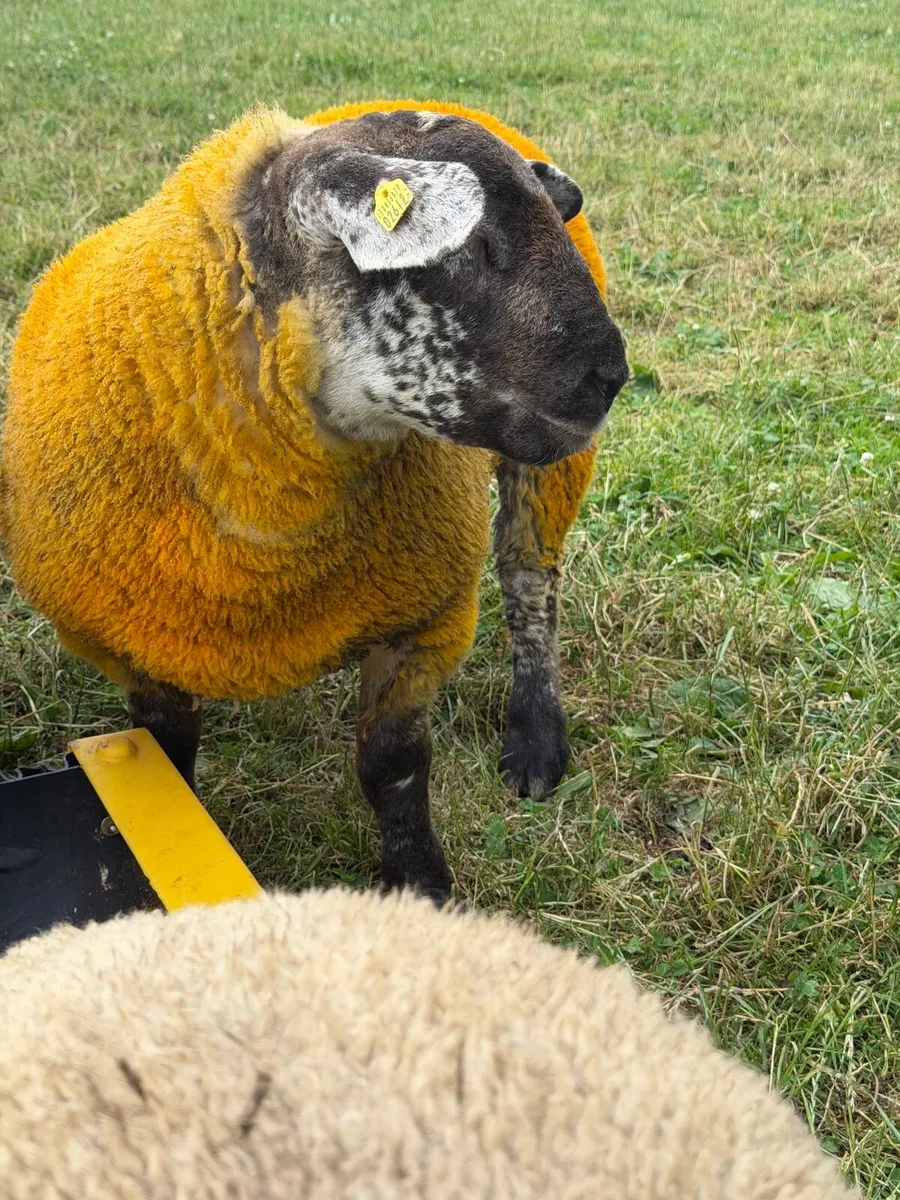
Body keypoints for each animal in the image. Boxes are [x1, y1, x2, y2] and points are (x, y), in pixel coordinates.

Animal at [0, 100, 629, 903]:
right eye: (476, 247)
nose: (611, 376)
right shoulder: (136, 650)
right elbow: (168, 759)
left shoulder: (423, 625)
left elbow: (393, 770)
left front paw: (421, 887)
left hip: (552, 469)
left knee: (529, 581)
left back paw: (536, 743)